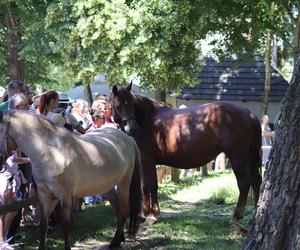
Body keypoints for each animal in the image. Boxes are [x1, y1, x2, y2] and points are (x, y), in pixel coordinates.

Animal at [0, 110, 142, 249]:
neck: (51, 152)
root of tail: (128, 139)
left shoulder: (65, 195)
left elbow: (64, 224)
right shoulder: (45, 195)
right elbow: (43, 225)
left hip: (124, 183)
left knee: (123, 210)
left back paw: (114, 242)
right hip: (108, 187)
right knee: (118, 210)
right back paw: (119, 240)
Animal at [110, 83, 262, 227]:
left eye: (131, 104)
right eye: (118, 106)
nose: (132, 129)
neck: (148, 118)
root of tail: (250, 114)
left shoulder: (147, 159)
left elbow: (150, 185)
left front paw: (151, 215)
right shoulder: (145, 161)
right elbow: (147, 185)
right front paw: (146, 213)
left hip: (238, 159)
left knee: (244, 184)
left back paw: (236, 217)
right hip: (249, 158)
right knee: (257, 182)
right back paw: (254, 217)